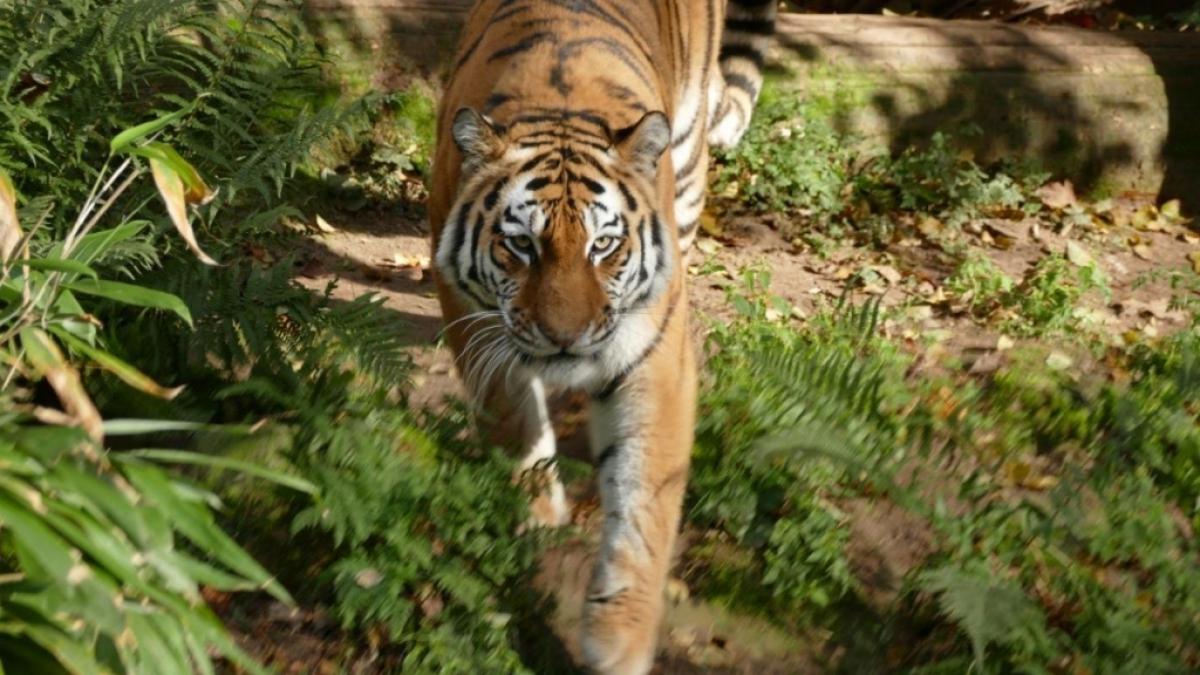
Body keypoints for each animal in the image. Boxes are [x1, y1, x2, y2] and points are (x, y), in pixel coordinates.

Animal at [428, 1, 776, 672]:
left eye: (604, 245)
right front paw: (535, 515)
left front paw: (620, 641)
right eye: (521, 245)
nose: (566, 338)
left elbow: (643, 503)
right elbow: (513, 418)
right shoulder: (471, 317)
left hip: (689, 165)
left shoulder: (654, 356)